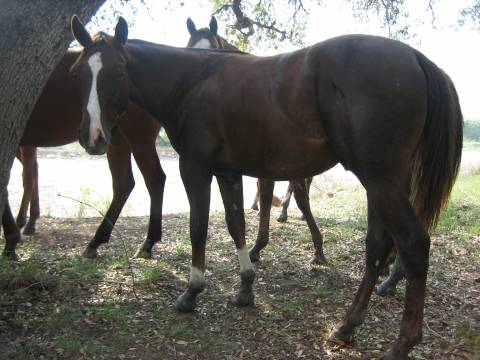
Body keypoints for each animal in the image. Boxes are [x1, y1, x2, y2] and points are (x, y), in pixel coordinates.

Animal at [1, 49, 165, 260]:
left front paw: (11, 240)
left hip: (138, 137)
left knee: (154, 179)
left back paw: (147, 243)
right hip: (116, 139)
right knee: (124, 183)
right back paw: (96, 241)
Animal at [70, 16, 462, 358]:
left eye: (118, 72)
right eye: (78, 73)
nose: (93, 138)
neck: (193, 80)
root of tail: (415, 57)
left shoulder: (195, 169)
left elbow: (199, 228)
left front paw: (192, 292)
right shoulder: (228, 173)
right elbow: (236, 226)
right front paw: (245, 287)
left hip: (382, 182)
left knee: (413, 244)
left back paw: (402, 343)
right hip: (381, 183)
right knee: (377, 246)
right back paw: (347, 326)